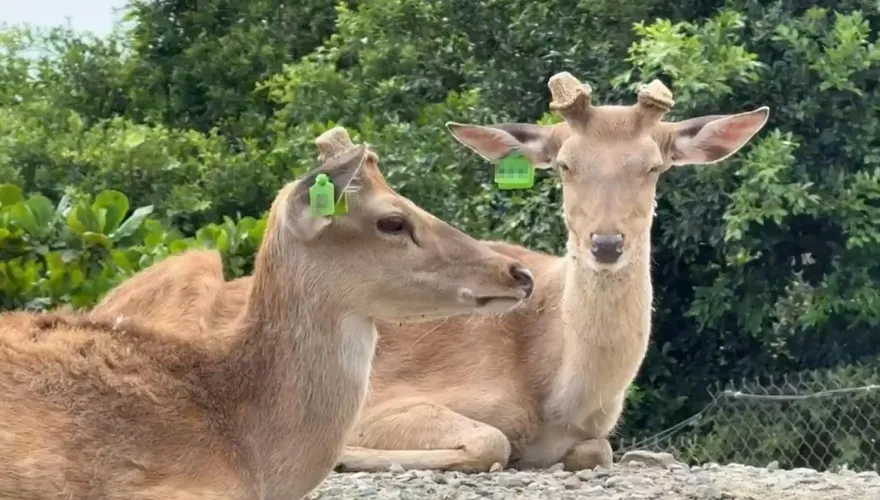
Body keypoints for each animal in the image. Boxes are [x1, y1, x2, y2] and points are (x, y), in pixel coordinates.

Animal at [88, 72, 770, 474]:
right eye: (564, 165)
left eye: (654, 166)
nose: (605, 243)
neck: (558, 388)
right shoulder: (395, 398)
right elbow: (492, 440)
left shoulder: (594, 434)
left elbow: (598, 450)